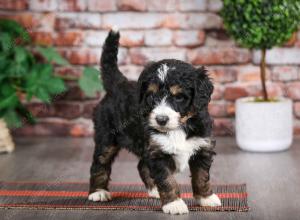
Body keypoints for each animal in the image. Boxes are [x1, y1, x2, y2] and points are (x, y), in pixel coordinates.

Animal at [88, 29, 221, 215]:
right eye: (151, 96)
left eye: (179, 97)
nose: (161, 120)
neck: (179, 127)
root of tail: (118, 84)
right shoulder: (158, 153)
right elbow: (167, 179)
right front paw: (174, 204)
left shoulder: (202, 147)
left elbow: (202, 176)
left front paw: (206, 198)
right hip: (106, 137)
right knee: (100, 163)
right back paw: (98, 192)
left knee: (141, 165)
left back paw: (154, 190)